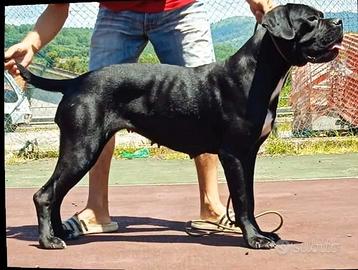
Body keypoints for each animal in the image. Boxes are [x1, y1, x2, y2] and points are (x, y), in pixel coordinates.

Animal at [15, 3, 342, 249]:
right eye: (312, 19)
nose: (338, 21)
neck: (258, 71)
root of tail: (75, 81)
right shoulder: (234, 154)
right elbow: (242, 201)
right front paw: (254, 239)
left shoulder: (248, 156)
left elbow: (247, 198)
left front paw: (261, 233)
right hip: (82, 148)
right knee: (45, 194)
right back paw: (48, 241)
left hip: (84, 150)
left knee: (57, 194)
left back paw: (60, 233)